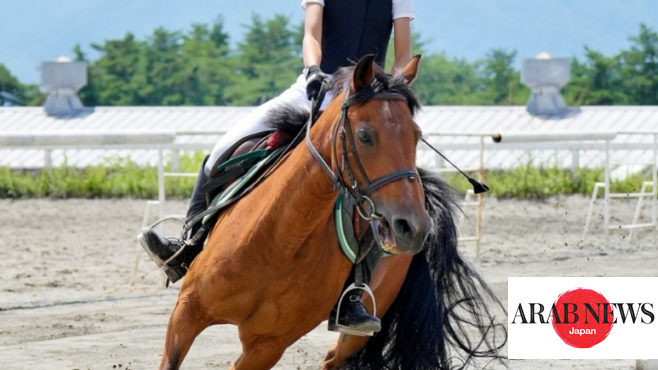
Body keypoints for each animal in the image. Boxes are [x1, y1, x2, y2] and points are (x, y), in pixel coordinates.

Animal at [155, 55, 430, 370]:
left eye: (416, 136)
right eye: (364, 136)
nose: (414, 227)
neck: (279, 240)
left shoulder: (267, 345)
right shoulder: (187, 311)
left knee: (333, 358)